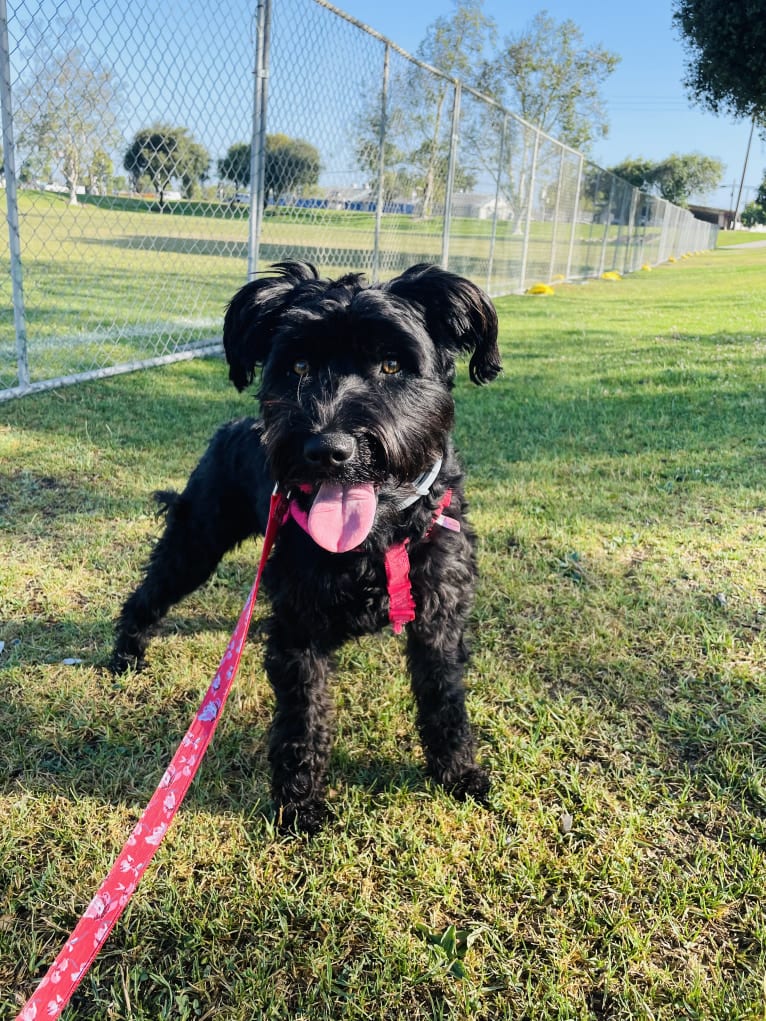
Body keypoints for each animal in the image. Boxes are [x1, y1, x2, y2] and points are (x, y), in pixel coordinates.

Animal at [110, 259, 500, 833]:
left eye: (391, 363)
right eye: (296, 366)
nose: (327, 450)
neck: (378, 538)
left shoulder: (440, 618)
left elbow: (444, 698)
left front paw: (458, 773)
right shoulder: (301, 630)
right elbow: (303, 718)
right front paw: (298, 805)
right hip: (197, 541)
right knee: (152, 591)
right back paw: (125, 653)